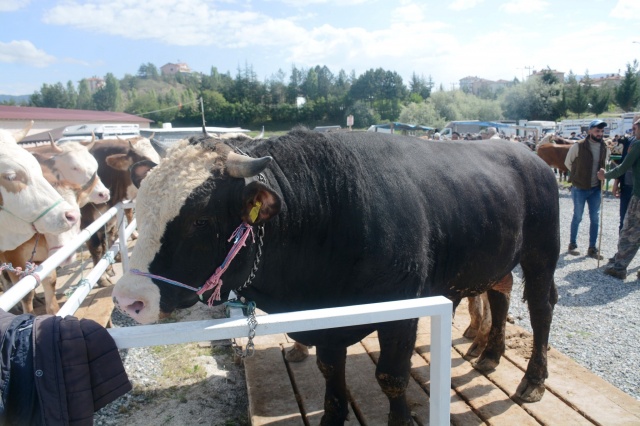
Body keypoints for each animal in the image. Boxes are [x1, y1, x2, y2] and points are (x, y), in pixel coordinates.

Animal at [114, 131, 560, 426]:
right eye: (141, 206)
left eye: (201, 219)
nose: (128, 299)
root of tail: (524, 152)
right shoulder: (326, 319)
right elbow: (330, 370)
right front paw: (332, 417)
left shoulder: (402, 310)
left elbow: (391, 377)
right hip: (498, 259)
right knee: (501, 296)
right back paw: (490, 355)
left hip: (542, 254)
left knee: (541, 309)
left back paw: (532, 380)